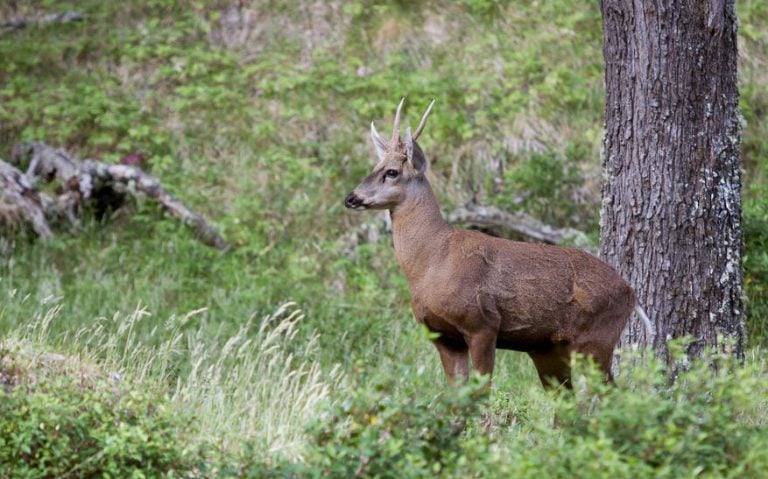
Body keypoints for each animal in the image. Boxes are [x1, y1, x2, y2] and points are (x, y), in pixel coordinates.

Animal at [344, 99, 652, 388]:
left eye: (392, 172)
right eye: (374, 167)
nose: (351, 198)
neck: (431, 262)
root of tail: (631, 293)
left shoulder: (483, 324)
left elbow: (482, 394)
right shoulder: (443, 336)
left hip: (595, 340)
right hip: (549, 349)